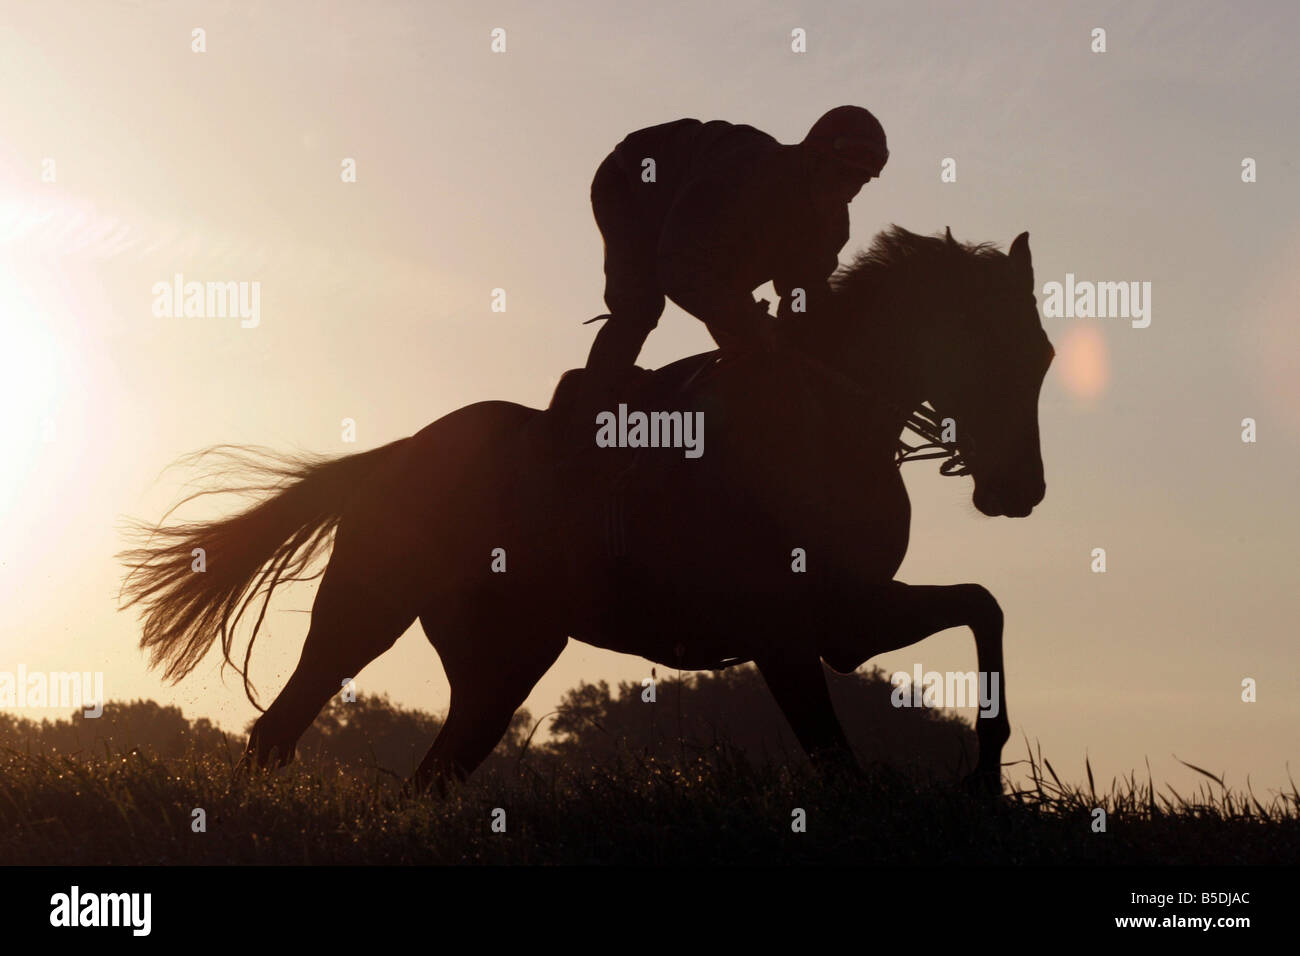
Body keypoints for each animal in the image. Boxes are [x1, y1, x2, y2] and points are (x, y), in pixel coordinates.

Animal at [119, 225, 1053, 796]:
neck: (825, 418)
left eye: (1043, 354)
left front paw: (985, 776)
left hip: (505, 660)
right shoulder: (789, 632)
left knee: (430, 775)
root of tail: (396, 454)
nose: (1023, 491)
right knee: (277, 732)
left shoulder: (845, 620)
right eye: (996, 349)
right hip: (364, 611)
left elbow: (983, 607)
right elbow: (839, 760)